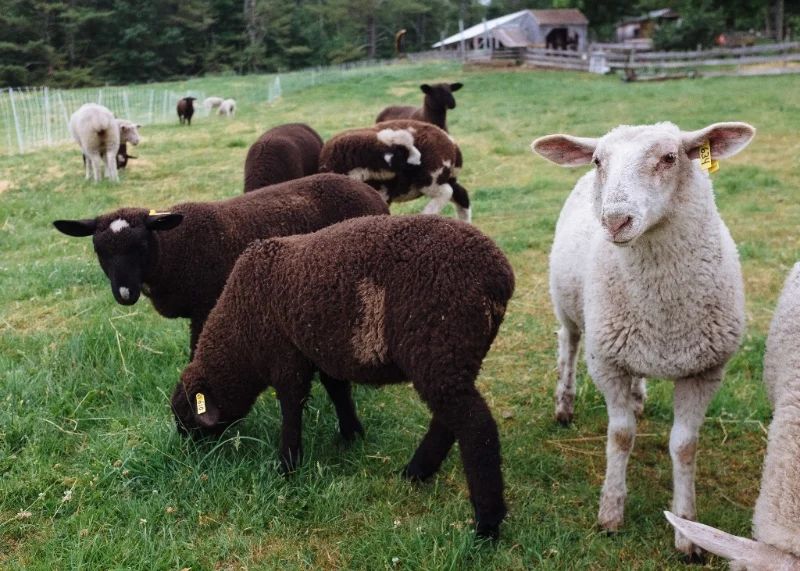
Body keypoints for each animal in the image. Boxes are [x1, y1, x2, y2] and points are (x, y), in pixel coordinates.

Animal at [52, 173, 389, 357]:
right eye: (99, 250)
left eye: (142, 246)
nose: (124, 294)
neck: (172, 249)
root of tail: (372, 193)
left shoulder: (205, 305)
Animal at [170, 214, 515, 539]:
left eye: (186, 416)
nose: (191, 456)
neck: (241, 333)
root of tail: (499, 277)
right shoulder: (319, 351)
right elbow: (337, 389)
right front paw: (351, 434)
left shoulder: (285, 356)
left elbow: (291, 407)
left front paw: (287, 466)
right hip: (454, 355)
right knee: (448, 420)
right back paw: (416, 473)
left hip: (439, 343)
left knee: (474, 426)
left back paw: (486, 524)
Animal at [319, 119, 471, 222]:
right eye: (401, 152)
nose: (419, 160)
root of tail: (452, 144)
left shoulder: (380, 192)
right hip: (445, 176)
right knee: (461, 195)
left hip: (432, 176)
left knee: (446, 192)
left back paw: (425, 214)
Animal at [531, 121, 756, 557]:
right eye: (598, 161)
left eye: (670, 158)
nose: (615, 221)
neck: (662, 311)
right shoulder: (607, 363)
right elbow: (620, 437)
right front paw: (610, 514)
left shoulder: (705, 371)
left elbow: (685, 446)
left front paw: (687, 532)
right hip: (567, 305)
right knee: (568, 343)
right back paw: (564, 405)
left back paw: (637, 397)